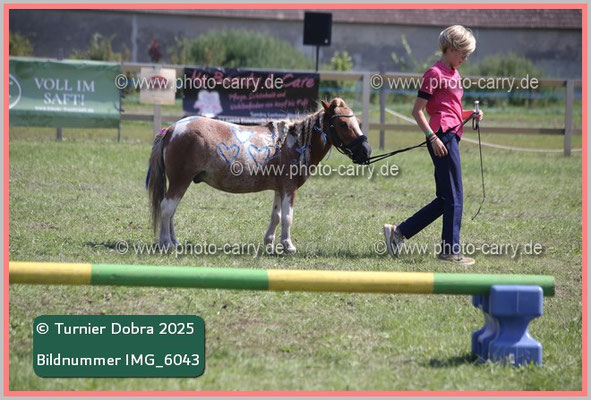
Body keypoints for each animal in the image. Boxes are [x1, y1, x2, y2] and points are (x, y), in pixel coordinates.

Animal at [146, 98, 372, 253]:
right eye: (342, 124)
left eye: (358, 122)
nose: (366, 151)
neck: (295, 142)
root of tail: (172, 129)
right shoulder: (289, 189)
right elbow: (287, 217)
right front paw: (288, 245)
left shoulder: (280, 189)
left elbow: (276, 216)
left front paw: (270, 243)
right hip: (180, 181)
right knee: (167, 208)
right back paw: (166, 243)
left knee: (171, 210)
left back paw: (174, 242)